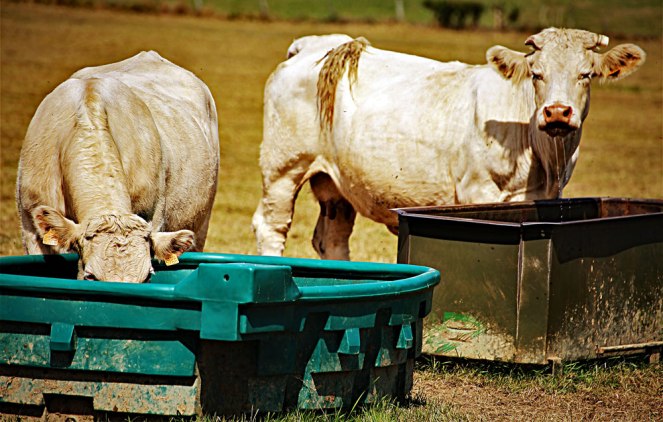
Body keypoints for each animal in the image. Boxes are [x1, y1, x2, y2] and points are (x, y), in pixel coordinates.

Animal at [252, 28, 645, 260]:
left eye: (586, 74)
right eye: (537, 74)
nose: (558, 112)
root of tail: (319, 45)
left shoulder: (550, 196)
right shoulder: (478, 193)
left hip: (336, 183)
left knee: (333, 236)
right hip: (283, 168)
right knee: (271, 226)